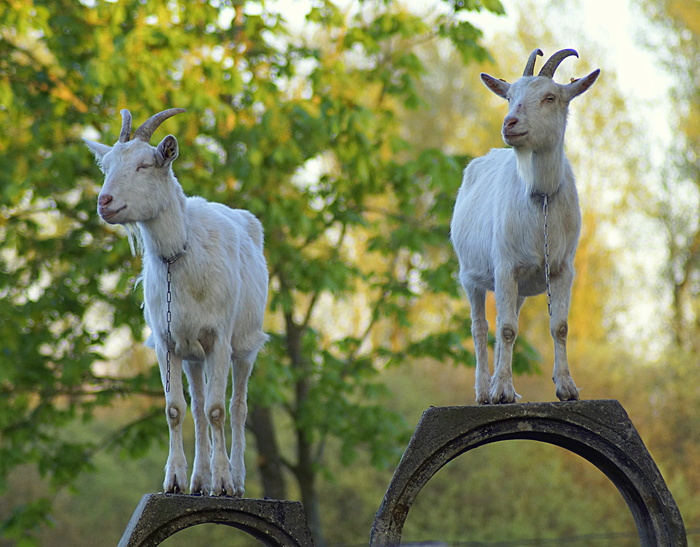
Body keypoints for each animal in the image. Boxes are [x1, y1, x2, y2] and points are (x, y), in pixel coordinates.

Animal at [82, 107, 268, 496]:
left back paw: (237, 479)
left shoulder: (219, 339)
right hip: (191, 355)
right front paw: (176, 480)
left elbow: (218, 410)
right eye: (106, 166)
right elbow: (175, 410)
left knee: (238, 405)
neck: (181, 254)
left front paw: (223, 483)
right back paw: (199, 480)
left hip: (245, 344)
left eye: (144, 165)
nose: (104, 202)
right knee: (196, 406)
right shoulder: (167, 342)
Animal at [452, 49, 600, 404]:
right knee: (481, 327)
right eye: (509, 97)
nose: (510, 123)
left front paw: (567, 387)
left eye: (550, 97)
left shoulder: (562, 269)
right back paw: (484, 391)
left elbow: (559, 327)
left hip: (518, 287)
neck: (541, 198)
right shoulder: (505, 266)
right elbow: (506, 329)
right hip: (471, 275)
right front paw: (503, 391)